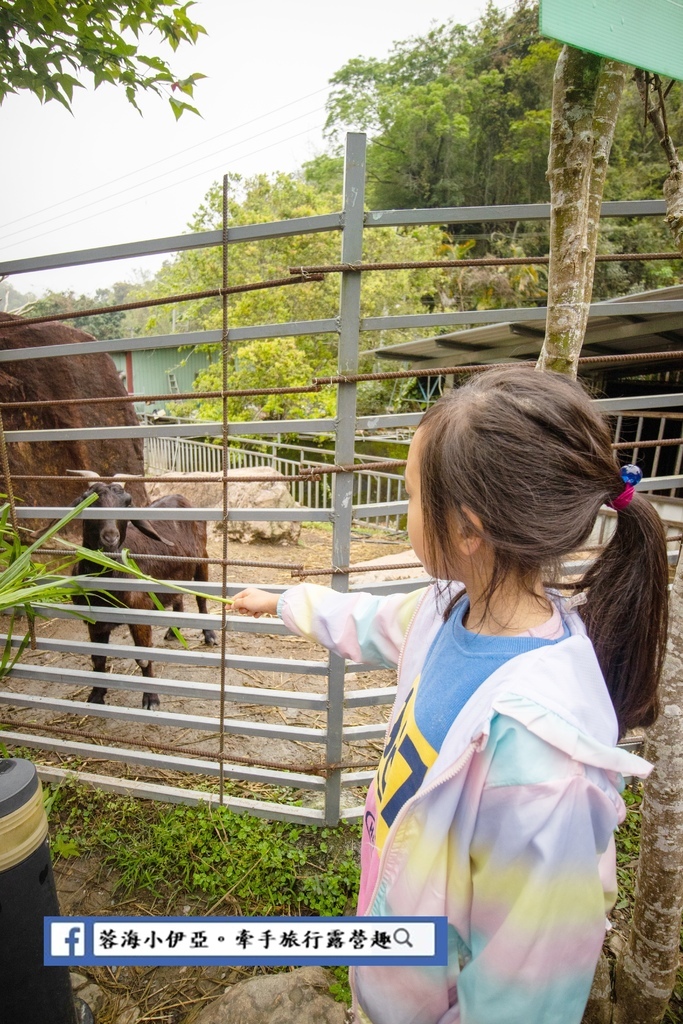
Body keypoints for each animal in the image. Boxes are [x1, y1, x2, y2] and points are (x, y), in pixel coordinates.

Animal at [70, 473, 215, 708]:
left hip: (202, 557)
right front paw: (96, 695)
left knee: (201, 600)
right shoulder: (95, 621)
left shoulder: (139, 613)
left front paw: (151, 699)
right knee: (177, 597)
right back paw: (173, 630)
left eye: (127, 503)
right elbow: (98, 658)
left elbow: (143, 658)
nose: (110, 538)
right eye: (87, 500)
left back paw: (209, 635)